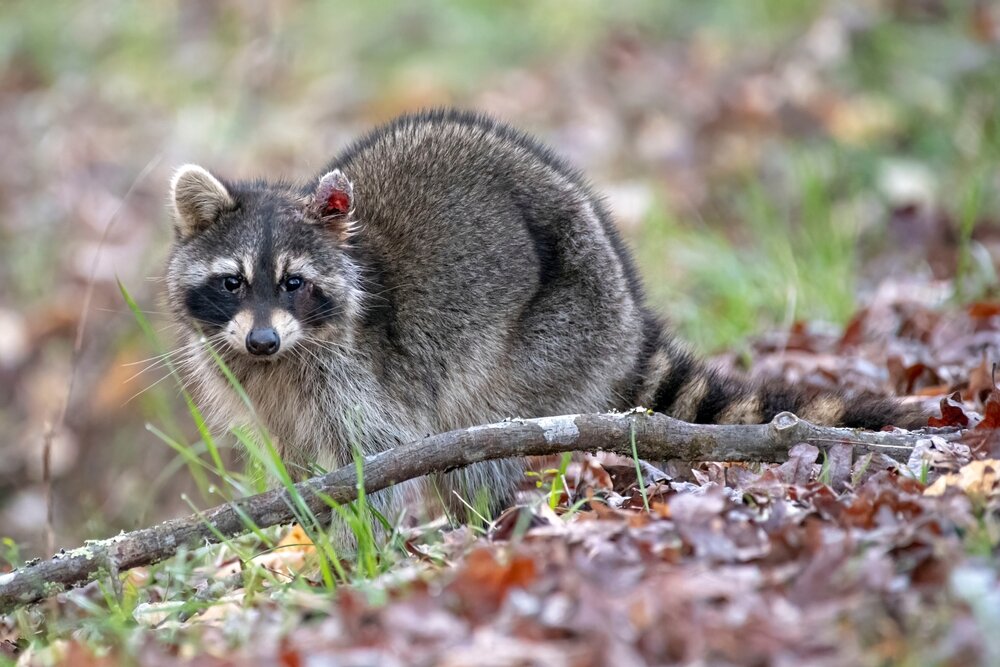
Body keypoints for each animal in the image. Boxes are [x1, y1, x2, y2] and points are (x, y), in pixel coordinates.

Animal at [165, 109, 920, 528]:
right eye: (233, 283)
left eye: (294, 283)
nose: (263, 339)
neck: (282, 359)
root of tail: (628, 315)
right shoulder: (270, 393)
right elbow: (302, 470)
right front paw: (308, 532)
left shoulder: (361, 376)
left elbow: (373, 468)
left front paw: (358, 553)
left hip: (554, 330)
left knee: (477, 440)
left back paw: (479, 528)